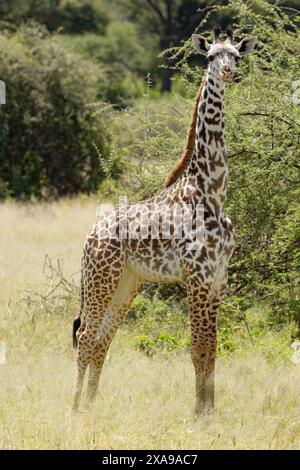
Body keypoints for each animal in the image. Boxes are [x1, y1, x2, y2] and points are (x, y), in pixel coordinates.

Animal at [72, 26, 255, 414]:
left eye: (236, 55)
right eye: (210, 56)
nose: (229, 73)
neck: (212, 193)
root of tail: (90, 234)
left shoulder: (218, 276)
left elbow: (212, 348)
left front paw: (211, 411)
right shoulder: (196, 275)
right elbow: (197, 347)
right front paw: (199, 413)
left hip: (128, 282)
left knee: (102, 338)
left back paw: (92, 407)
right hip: (100, 278)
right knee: (85, 334)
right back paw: (75, 408)